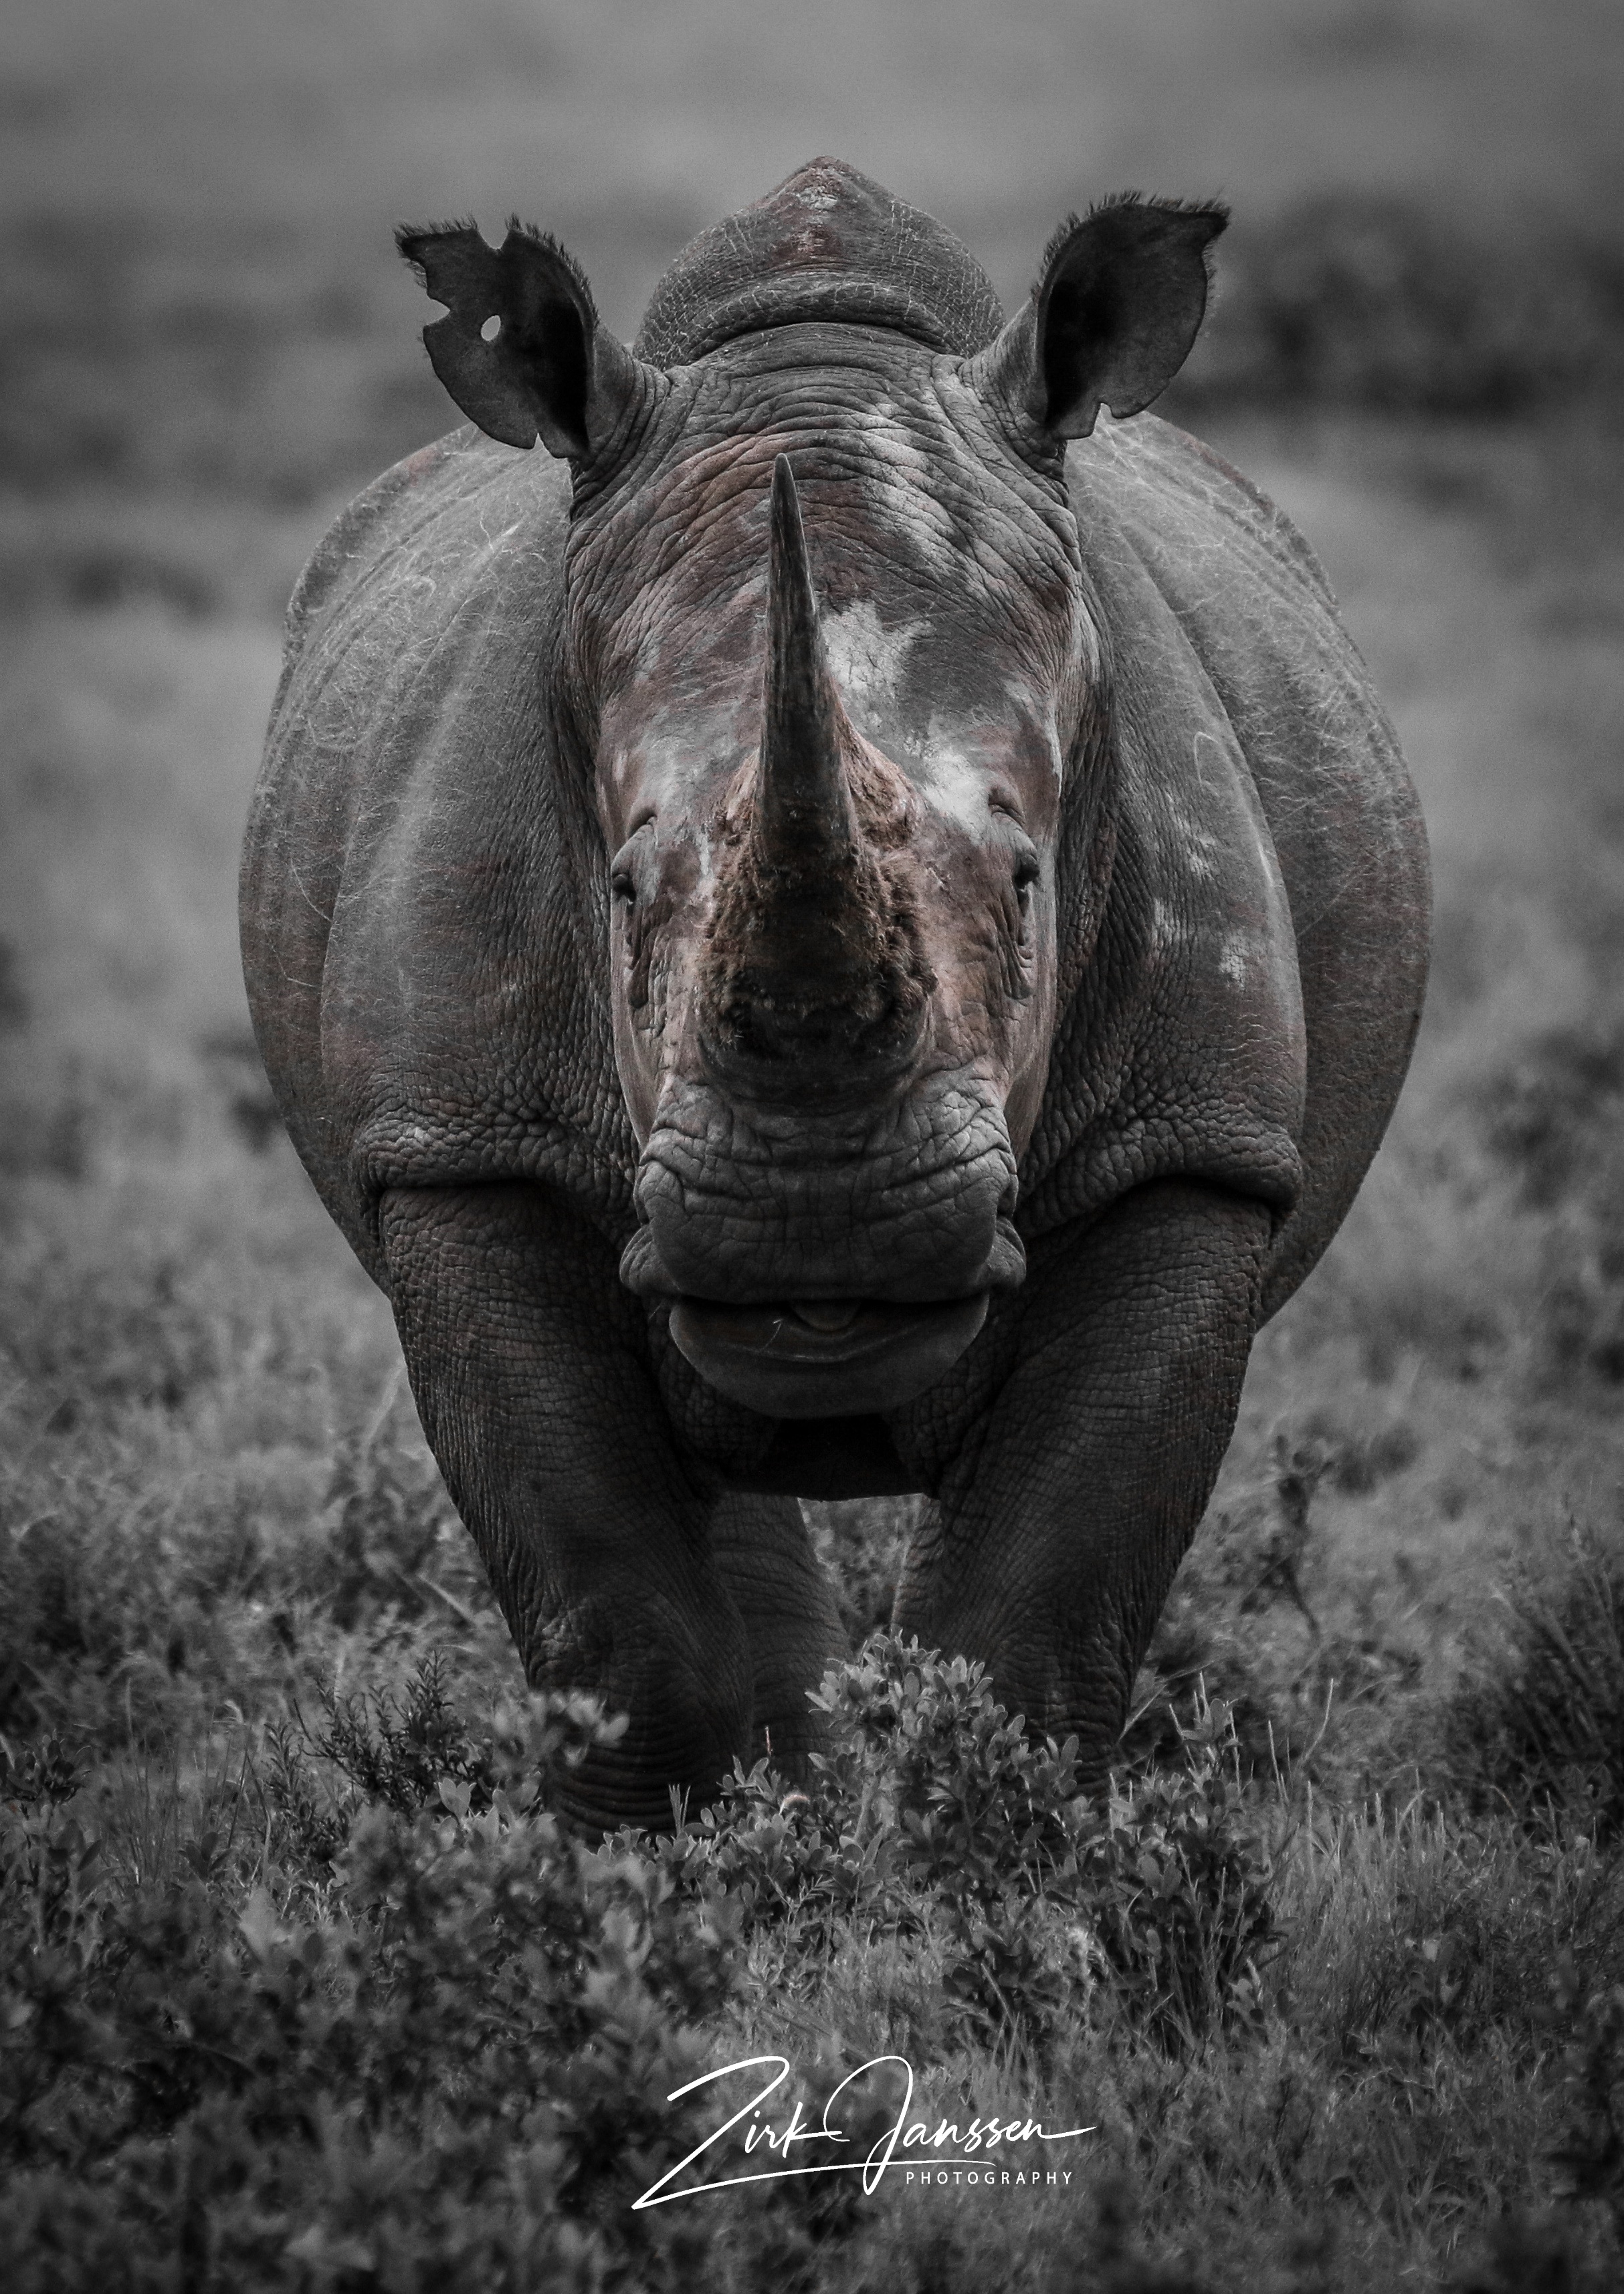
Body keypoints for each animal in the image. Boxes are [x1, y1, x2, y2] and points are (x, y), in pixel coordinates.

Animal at [242, 159, 1428, 1828]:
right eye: (620, 888)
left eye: (1024, 879)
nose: (818, 1218)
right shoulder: (460, 1145)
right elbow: (625, 1624)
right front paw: (655, 1864)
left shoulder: (1189, 1143)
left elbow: (1037, 1616)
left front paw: (986, 1850)